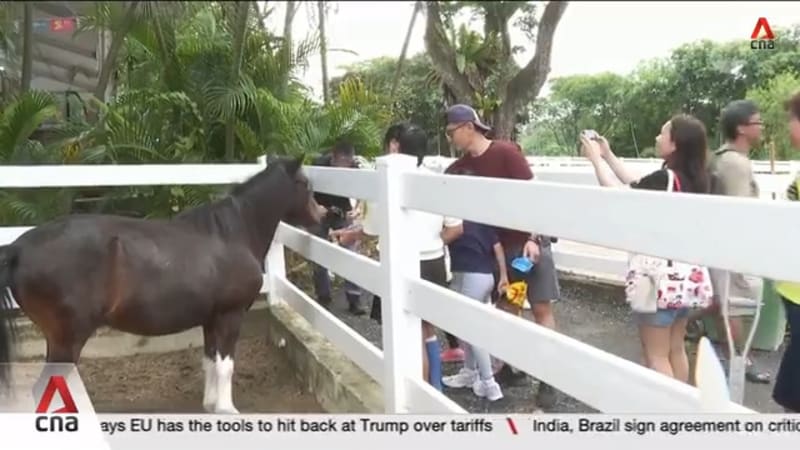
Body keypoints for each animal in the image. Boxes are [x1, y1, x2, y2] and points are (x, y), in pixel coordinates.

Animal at [0, 155, 322, 413]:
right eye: (304, 183)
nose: (321, 215)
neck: (232, 234)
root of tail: (18, 247)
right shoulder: (230, 316)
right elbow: (226, 365)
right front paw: (226, 409)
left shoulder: (210, 319)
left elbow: (210, 361)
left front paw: (210, 404)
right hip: (67, 341)